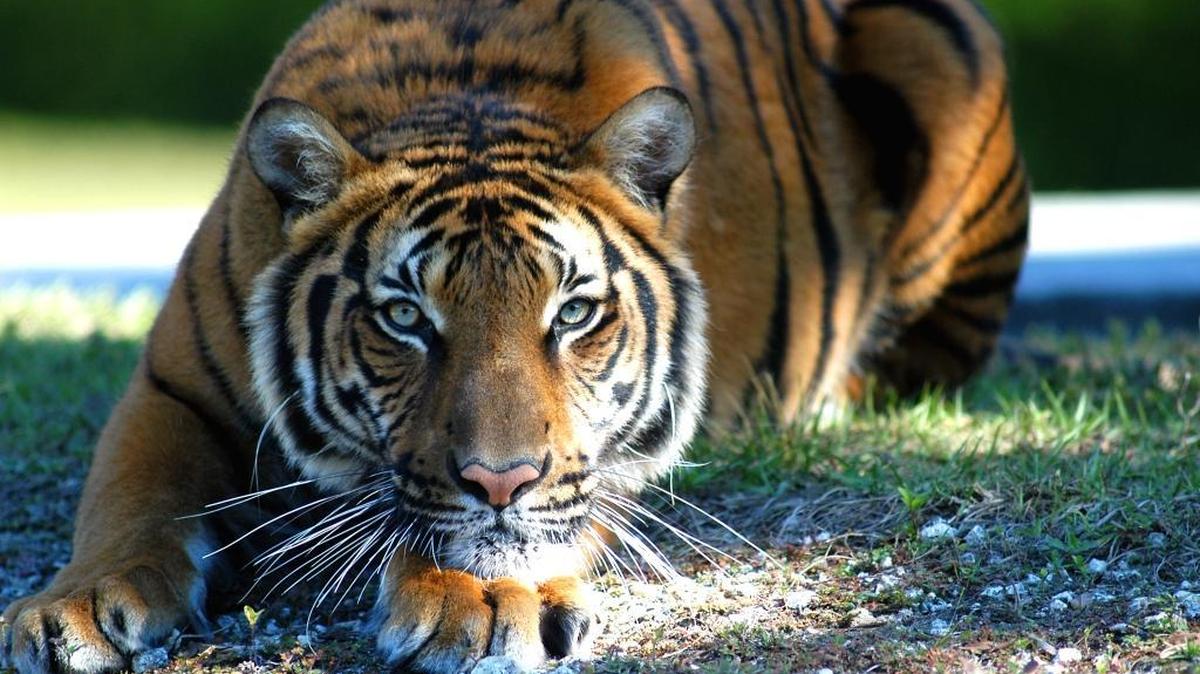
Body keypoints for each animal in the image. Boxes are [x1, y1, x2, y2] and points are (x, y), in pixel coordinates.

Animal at [0, 0, 1027, 672]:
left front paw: (497, 599)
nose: (501, 482)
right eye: (405, 318)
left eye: (572, 313)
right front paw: (72, 607)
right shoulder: (170, 388)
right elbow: (126, 501)